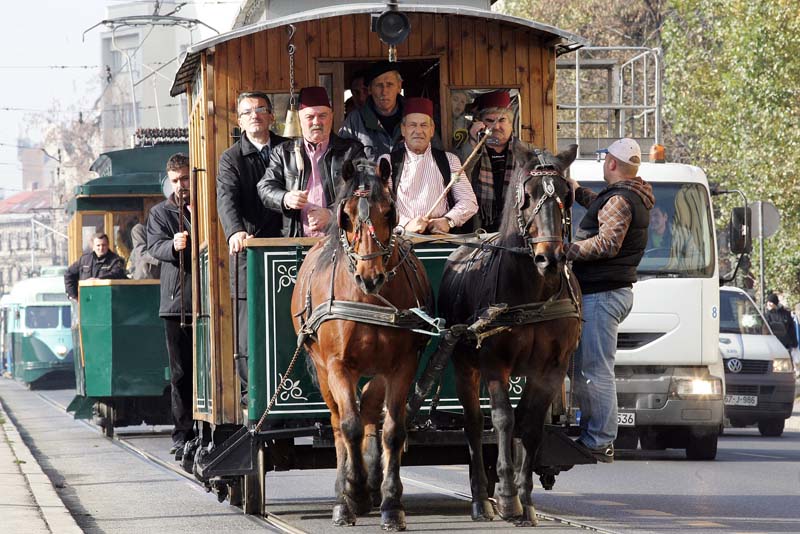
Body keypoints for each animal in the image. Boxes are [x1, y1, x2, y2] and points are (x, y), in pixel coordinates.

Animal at [290, 158, 432, 532]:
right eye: (347, 215)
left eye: (389, 211)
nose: (371, 277)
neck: (368, 300)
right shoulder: (338, 366)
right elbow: (349, 426)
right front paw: (348, 494)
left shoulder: (401, 366)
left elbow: (393, 430)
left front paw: (391, 504)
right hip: (323, 370)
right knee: (340, 421)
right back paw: (347, 491)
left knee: (369, 409)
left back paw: (370, 485)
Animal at [438, 146, 580, 528]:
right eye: (527, 196)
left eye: (567, 195)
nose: (550, 257)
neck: (533, 292)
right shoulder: (493, 364)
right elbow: (502, 419)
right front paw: (505, 495)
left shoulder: (551, 369)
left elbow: (529, 426)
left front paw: (525, 499)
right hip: (463, 366)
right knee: (474, 425)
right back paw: (480, 500)